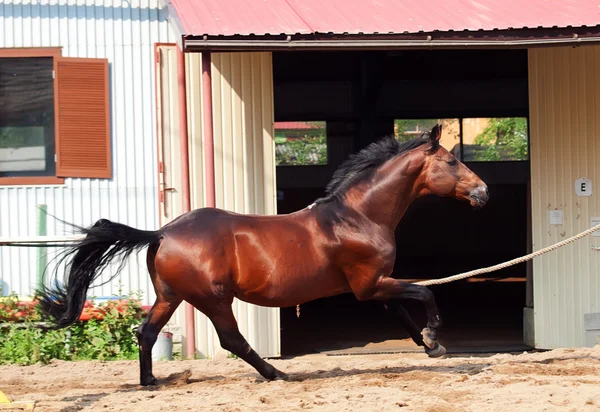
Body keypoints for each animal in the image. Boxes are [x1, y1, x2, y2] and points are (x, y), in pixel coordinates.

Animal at [35, 123, 488, 386]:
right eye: (451, 160)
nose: (483, 192)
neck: (358, 216)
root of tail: (163, 232)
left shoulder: (375, 285)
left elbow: (403, 312)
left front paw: (430, 346)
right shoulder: (369, 284)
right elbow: (424, 293)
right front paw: (435, 338)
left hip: (171, 295)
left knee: (146, 333)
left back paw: (150, 382)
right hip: (213, 298)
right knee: (231, 339)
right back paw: (277, 373)